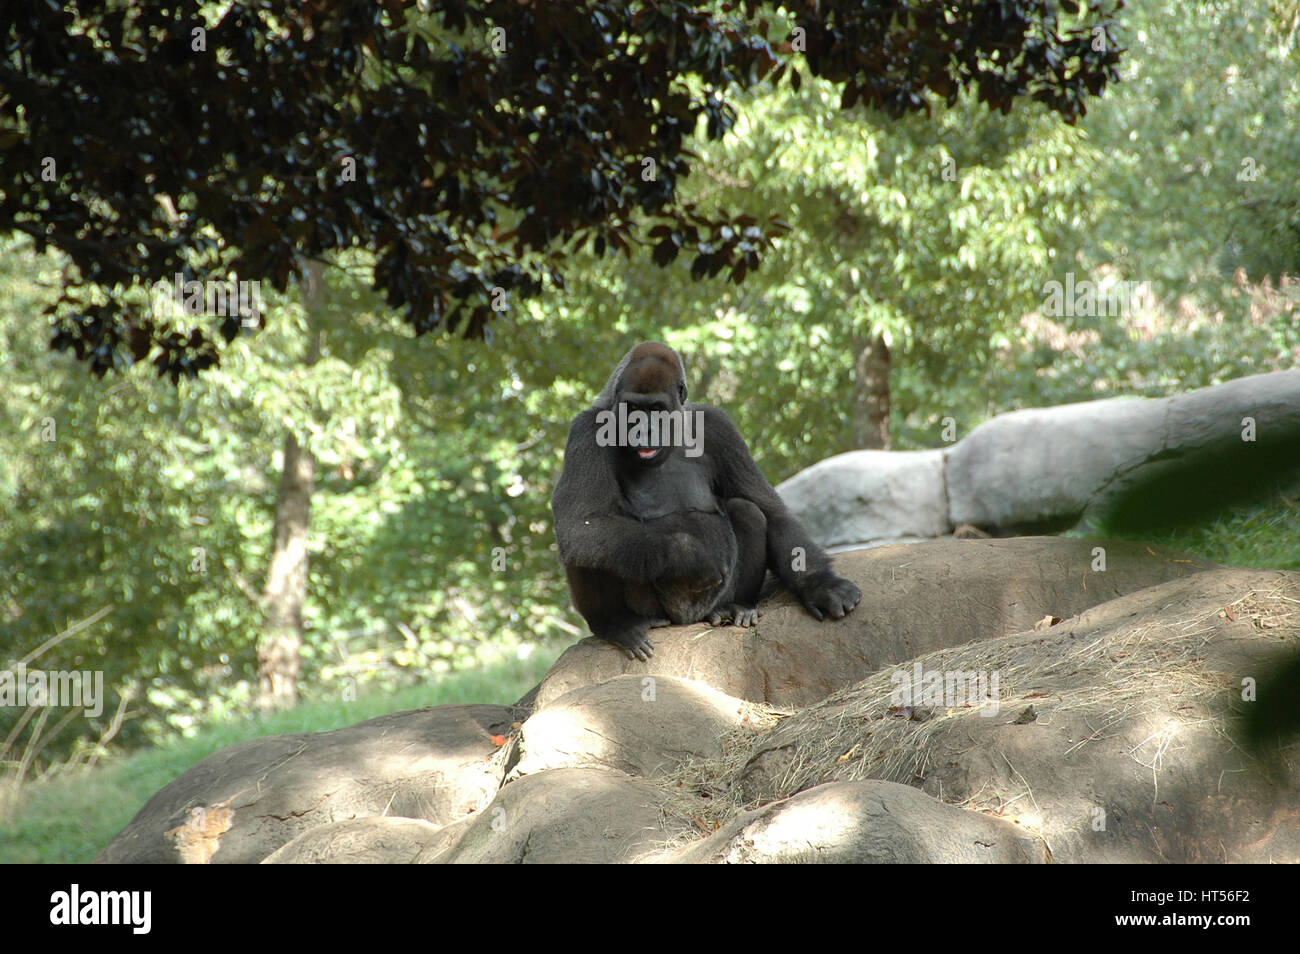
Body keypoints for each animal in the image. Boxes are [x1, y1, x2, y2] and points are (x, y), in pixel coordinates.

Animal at [551, 343, 863, 665]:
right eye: (633, 409)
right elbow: (581, 523)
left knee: (747, 511)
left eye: (656, 409)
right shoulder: (586, 430)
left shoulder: (718, 426)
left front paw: (820, 585)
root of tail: (687, 622)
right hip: (658, 611)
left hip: (712, 601)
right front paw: (688, 556)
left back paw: (735, 607)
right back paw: (616, 623)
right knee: (590, 544)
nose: (642, 431)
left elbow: (770, 510)